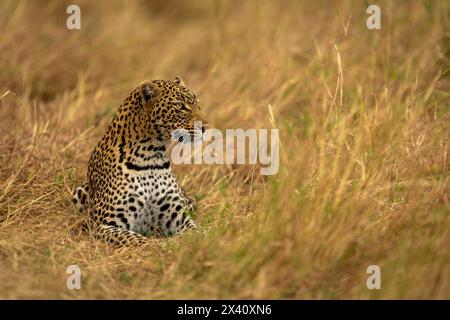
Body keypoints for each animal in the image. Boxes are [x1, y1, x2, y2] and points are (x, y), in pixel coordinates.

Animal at [72, 77, 206, 245]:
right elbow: (137, 239)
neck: (151, 155)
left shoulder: (178, 216)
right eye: (180, 106)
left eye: (197, 104)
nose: (205, 127)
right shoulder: (103, 224)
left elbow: (195, 231)